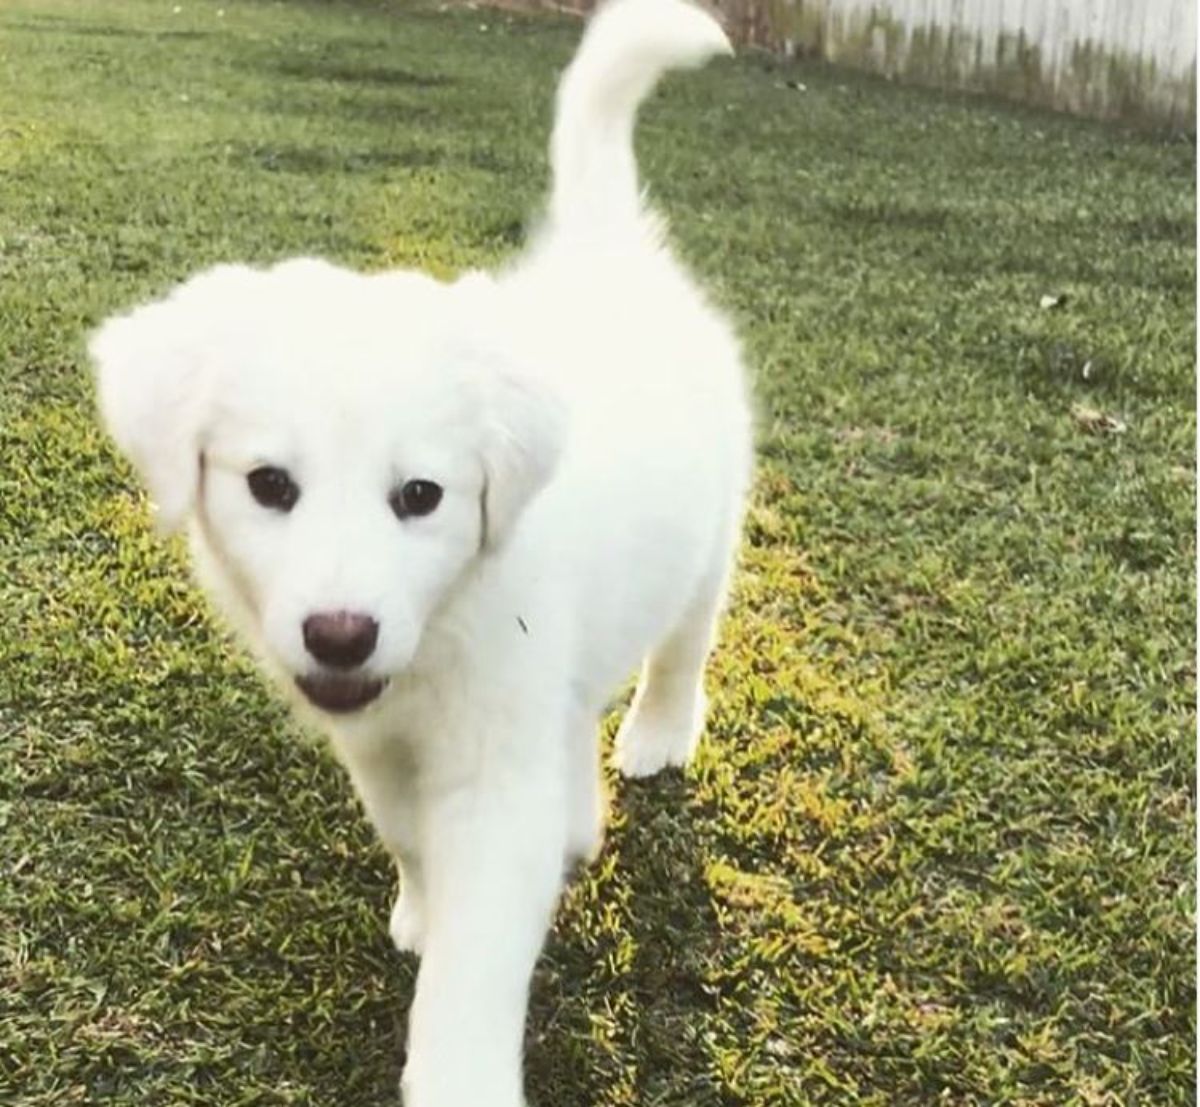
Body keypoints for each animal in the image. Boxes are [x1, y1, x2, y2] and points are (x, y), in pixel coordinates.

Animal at [91, 4, 748, 1099]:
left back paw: (657, 734)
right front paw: (420, 906)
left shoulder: (494, 761)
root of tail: (608, 252)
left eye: (421, 497)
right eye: (270, 485)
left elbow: (476, 952)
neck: (446, 628)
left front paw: (458, 1062)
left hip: (712, 533)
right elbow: (409, 835)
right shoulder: (381, 742)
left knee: (680, 648)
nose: (341, 635)